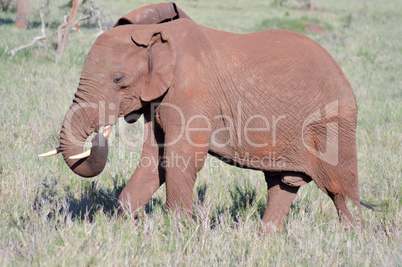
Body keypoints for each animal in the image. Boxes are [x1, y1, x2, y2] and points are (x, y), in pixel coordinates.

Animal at [41, 1, 364, 232]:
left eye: (118, 79)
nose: (99, 135)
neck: (156, 36)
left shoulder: (192, 91)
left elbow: (179, 158)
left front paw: (177, 232)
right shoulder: (161, 99)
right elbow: (155, 158)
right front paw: (127, 226)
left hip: (332, 124)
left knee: (340, 190)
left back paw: (353, 238)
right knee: (282, 184)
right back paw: (267, 238)